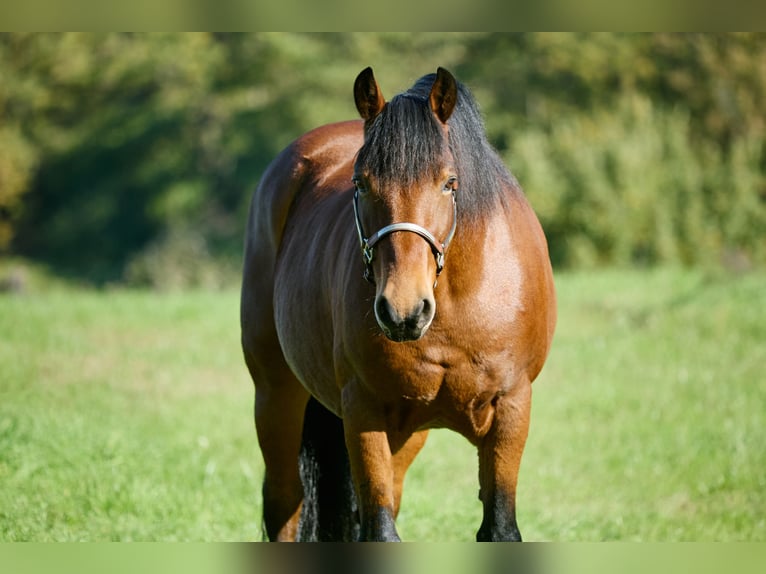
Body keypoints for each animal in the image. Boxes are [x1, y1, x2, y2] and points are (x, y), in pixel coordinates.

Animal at [242, 67, 560, 544]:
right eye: (360, 183)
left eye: (449, 182)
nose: (403, 310)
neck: (458, 303)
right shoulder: (363, 410)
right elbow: (379, 528)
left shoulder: (511, 407)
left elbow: (499, 527)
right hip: (275, 394)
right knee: (286, 504)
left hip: (406, 435)